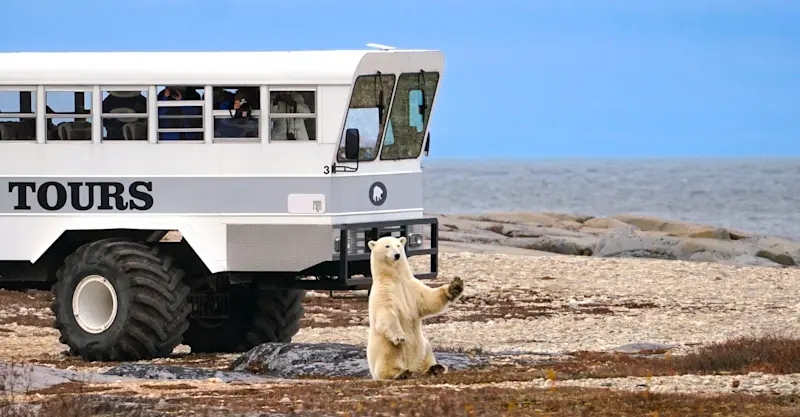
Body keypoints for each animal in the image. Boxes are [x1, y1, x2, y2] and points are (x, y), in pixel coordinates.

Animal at [365, 235, 465, 380]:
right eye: (387, 246)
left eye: (398, 245)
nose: (397, 255)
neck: (396, 278)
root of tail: (411, 364)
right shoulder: (384, 293)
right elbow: (386, 313)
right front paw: (399, 336)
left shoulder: (412, 288)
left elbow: (428, 300)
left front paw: (455, 286)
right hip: (384, 347)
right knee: (388, 359)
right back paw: (401, 373)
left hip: (421, 346)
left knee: (426, 353)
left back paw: (435, 368)